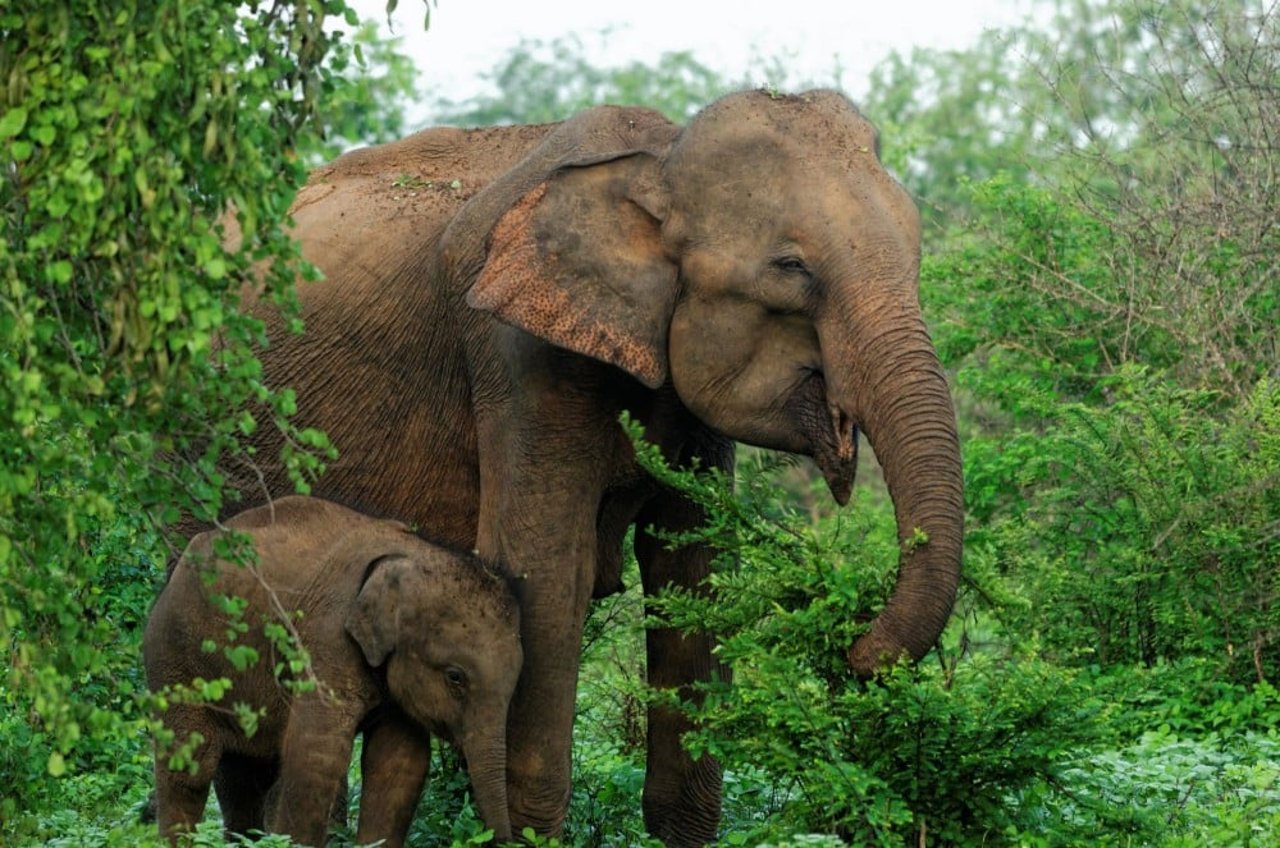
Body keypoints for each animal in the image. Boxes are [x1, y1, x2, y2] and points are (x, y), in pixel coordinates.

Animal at [141, 499, 519, 848]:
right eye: (456, 677)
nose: (504, 839)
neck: (414, 552)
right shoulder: (326, 638)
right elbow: (316, 754)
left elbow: (399, 763)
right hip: (173, 655)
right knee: (193, 765)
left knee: (245, 776)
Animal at [227, 89, 962, 845]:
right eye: (793, 268)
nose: (856, 650)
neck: (659, 163)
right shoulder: (520, 355)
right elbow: (546, 578)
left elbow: (691, 573)